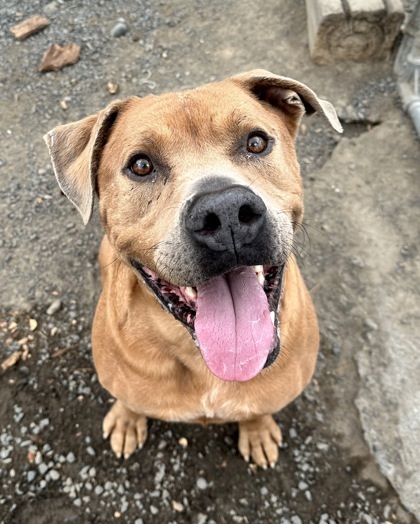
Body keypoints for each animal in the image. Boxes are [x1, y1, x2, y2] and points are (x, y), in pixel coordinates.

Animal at [45, 69, 342, 466]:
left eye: (256, 142)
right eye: (141, 165)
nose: (226, 211)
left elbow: (258, 410)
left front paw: (257, 430)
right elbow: (128, 401)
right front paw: (126, 419)